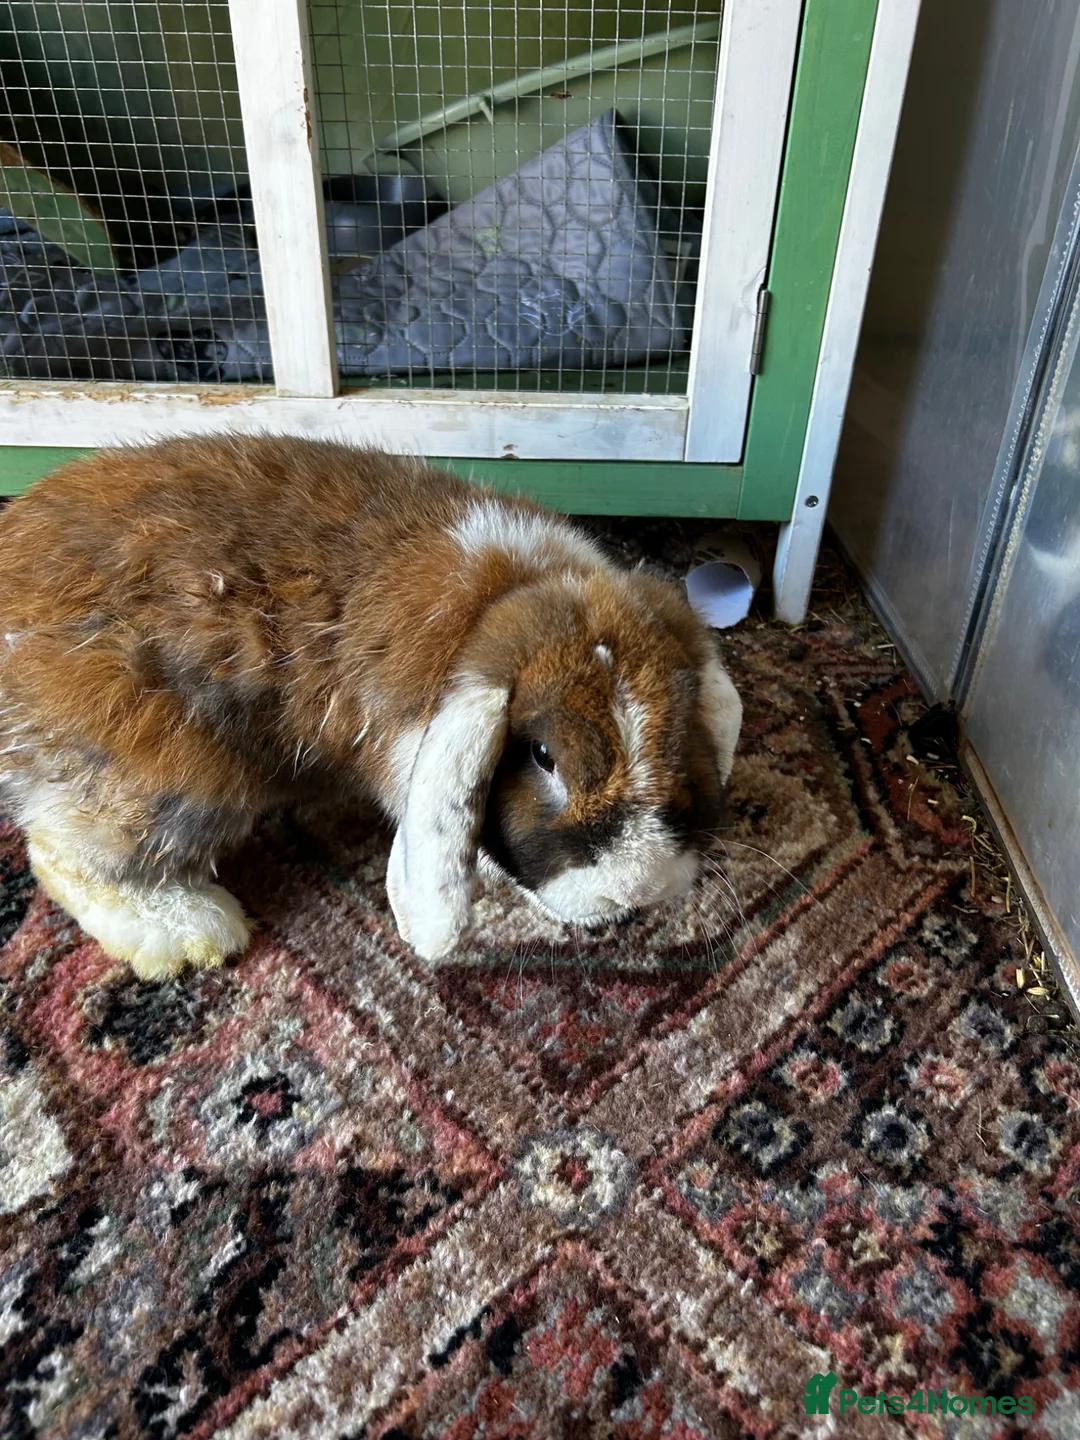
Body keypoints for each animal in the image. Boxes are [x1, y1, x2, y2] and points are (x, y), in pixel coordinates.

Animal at [0, 435, 742, 978]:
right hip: (175, 775)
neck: (504, 599)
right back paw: (192, 933)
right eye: (542, 755)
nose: (636, 891)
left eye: (683, 726)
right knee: (67, 855)